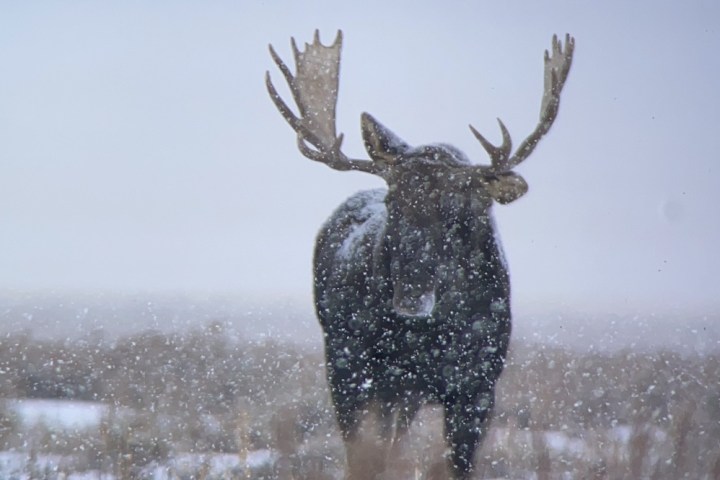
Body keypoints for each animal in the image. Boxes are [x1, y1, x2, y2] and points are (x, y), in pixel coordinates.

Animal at [266, 30, 574, 480]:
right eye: (393, 201)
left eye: (461, 208)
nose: (411, 299)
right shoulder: (368, 373)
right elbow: (368, 458)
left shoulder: (479, 386)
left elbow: (458, 465)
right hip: (345, 365)